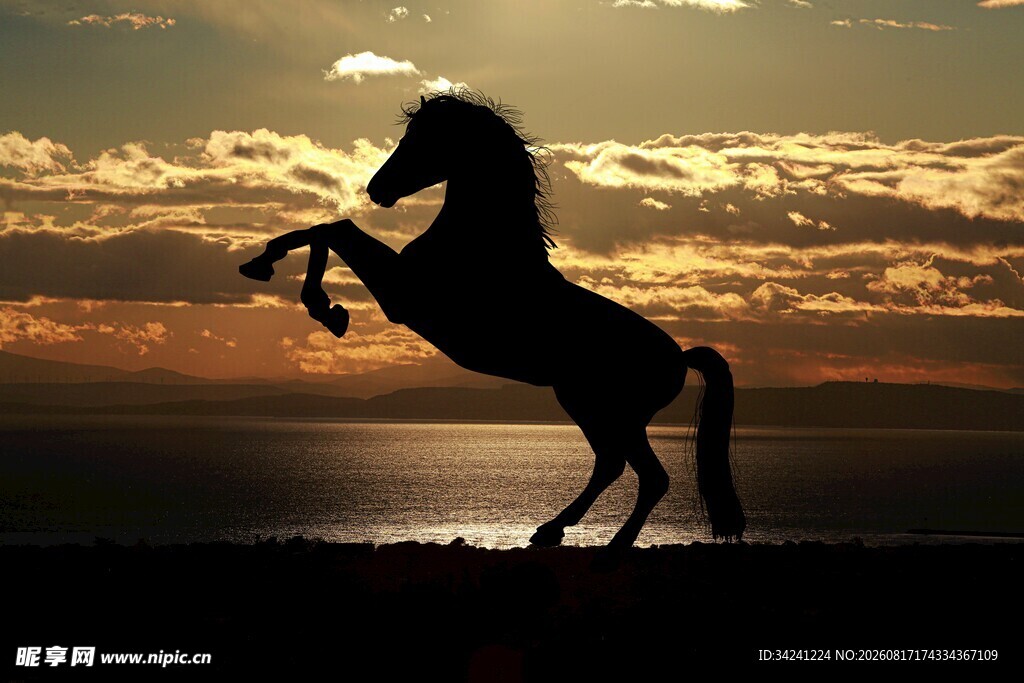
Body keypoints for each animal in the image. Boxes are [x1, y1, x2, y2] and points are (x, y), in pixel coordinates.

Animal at [239, 89, 745, 550]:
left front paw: (321, 305)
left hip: (607, 410)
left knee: (644, 474)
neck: (482, 244)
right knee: (612, 465)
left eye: (421, 138)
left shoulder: (403, 296)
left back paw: (609, 543)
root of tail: (679, 357)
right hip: (592, 407)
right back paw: (551, 531)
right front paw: (268, 268)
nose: (376, 190)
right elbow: (325, 229)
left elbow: (334, 230)